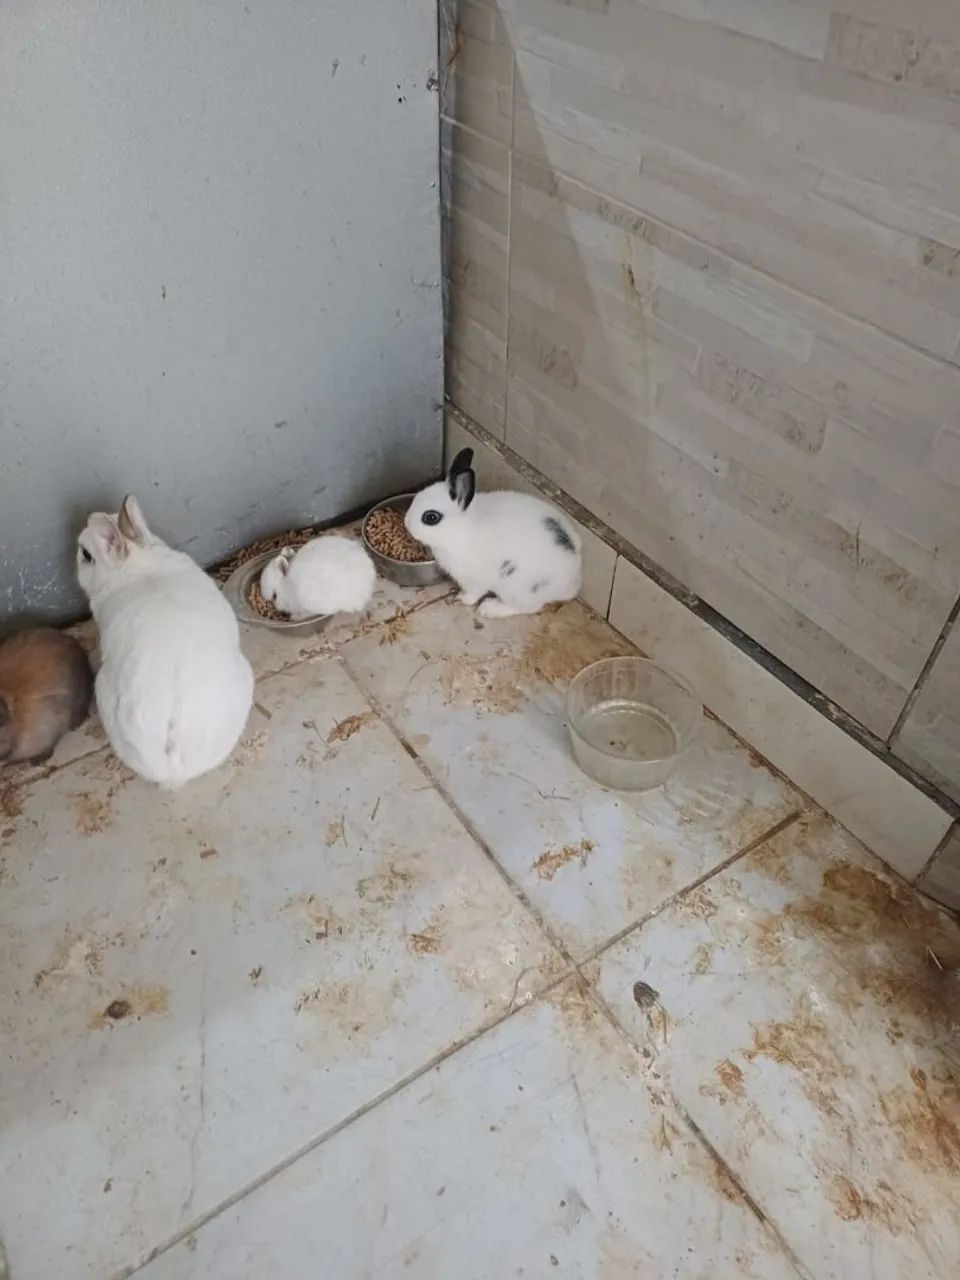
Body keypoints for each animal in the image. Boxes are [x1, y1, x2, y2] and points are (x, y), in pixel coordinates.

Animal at [405, 448, 582, 618]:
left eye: (431, 517)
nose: (407, 522)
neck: (462, 529)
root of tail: (571, 584)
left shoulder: (472, 579)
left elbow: (473, 593)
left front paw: (461, 598)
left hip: (515, 588)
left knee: (529, 608)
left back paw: (488, 609)